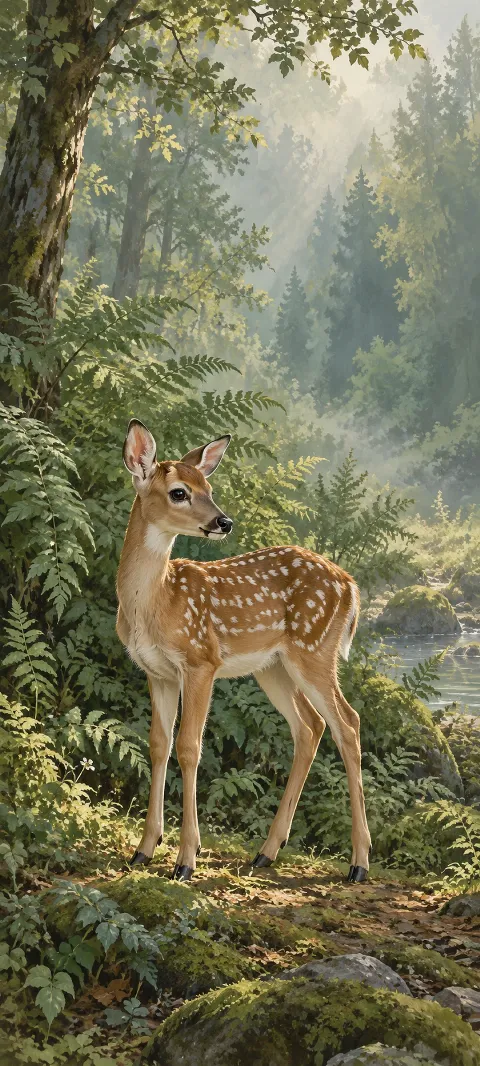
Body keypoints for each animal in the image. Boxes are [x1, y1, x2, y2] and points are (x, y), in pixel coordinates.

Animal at [116, 419, 371, 883]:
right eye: (179, 491)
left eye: (209, 487)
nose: (224, 521)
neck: (156, 603)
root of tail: (351, 586)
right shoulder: (157, 672)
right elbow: (159, 744)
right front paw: (143, 850)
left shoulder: (201, 661)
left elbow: (190, 748)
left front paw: (186, 859)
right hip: (273, 667)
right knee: (310, 727)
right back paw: (267, 852)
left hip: (314, 649)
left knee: (348, 723)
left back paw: (358, 863)